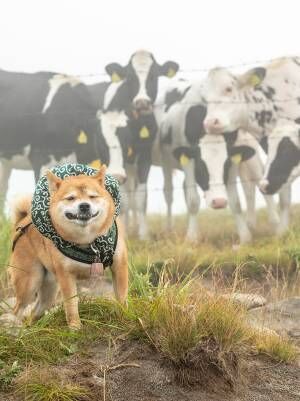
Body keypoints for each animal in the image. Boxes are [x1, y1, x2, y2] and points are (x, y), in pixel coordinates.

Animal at [9, 163, 127, 328]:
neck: (88, 241)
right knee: (17, 310)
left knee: (34, 312)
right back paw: (15, 331)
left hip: (49, 289)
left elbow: (121, 296)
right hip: (29, 282)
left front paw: (125, 317)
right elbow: (71, 305)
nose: (84, 206)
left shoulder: (119, 265)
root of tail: (23, 221)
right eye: (70, 198)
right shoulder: (66, 275)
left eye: (92, 196)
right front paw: (75, 327)